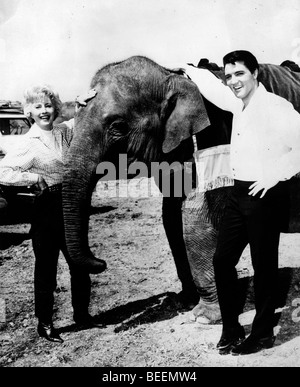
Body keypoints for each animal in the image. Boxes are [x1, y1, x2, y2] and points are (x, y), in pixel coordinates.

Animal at [63, 54, 300, 322]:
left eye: (118, 126)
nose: (101, 262)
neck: (170, 78)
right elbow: (171, 216)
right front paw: (185, 301)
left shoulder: (214, 138)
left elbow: (196, 217)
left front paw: (204, 316)